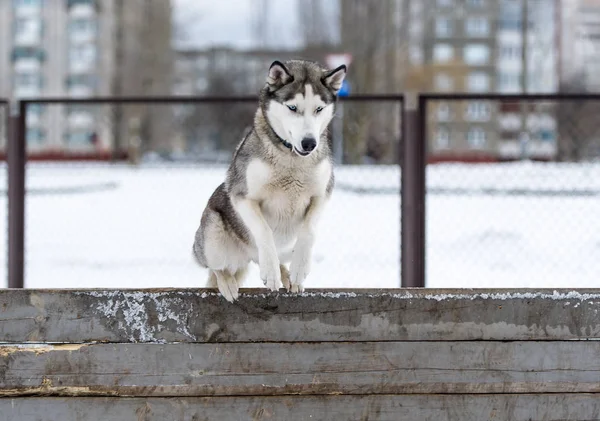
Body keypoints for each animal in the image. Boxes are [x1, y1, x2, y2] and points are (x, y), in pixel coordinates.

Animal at [192, 60, 346, 302]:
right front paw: (271, 272)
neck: (292, 160)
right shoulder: (242, 195)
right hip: (212, 235)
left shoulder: (322, 194)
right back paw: (228, 283)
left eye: (319, 109)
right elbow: (264, 231)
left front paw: (299, 269)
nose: (309, 143)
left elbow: (309, 230)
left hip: (281, 248)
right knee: (217, 268)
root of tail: (247, 255)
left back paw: (288, 276)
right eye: (292, 108)